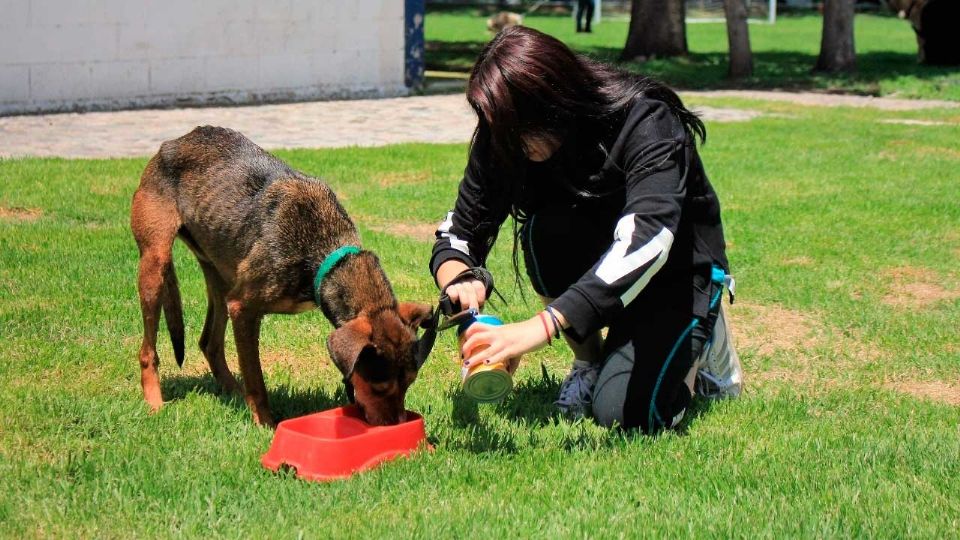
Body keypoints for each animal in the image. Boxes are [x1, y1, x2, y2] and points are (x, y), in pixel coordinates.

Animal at [130, 126, 432, 426]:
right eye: (379, 386)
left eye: (410, 382)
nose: (399, 426)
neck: (325, 254)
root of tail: (172, 143)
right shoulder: (243, 308)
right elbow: (256, 379)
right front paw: (265, 424)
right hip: (156, 264)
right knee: (148, 350)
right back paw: (155, 402)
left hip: (220, 274)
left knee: (209, 343)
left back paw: (233, 393)